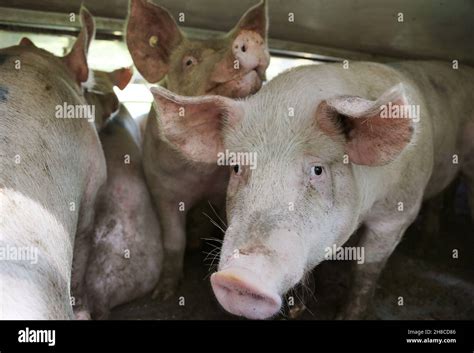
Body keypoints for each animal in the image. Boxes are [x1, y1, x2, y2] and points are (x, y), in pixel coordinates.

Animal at [124, 0, 268, 298]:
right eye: (189, 62)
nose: (248, 37)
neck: (203, 173)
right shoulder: (162, 190)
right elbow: (173, 240)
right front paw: (163, 294)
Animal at [148, 61, 474, 320]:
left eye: (317, 170)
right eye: (237, 167)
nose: (239, 276)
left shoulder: (398, 211)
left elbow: (367, 269)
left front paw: (347, 316)